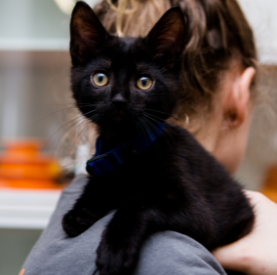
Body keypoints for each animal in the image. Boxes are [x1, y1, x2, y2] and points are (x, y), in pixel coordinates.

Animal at [62, 2, 252, 275]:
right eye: (100, 78)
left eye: (144, 82)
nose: (119, 100)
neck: (126, 148)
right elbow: (103, 186)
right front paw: (79, 212)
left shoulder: (198, 212)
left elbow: (139, 201)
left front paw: (114, 250)